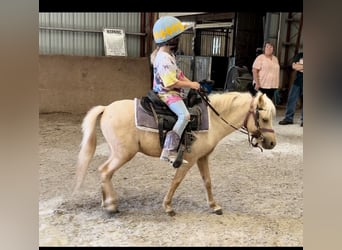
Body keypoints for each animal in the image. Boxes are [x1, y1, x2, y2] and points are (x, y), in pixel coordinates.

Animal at [73, 91, 276, 216]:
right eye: (264, 118)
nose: (273, 143)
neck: (212, 121)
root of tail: (106, 108)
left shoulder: (202, 158)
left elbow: (207, 182)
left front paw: (214, 206)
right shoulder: (189, 159)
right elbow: (176, 181)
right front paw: (168, 207)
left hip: (117, 153)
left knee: (104, 171)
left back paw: (105, 202)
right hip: (123, 154)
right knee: (105, 171)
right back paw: (111, 205)